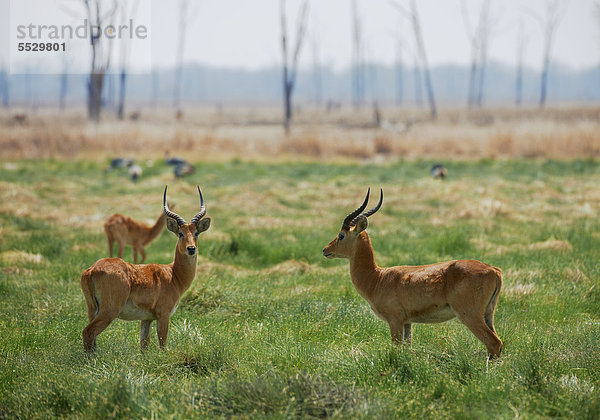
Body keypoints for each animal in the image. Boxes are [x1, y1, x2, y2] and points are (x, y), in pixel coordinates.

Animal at [79, 185, 211, 352]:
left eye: (196, 233)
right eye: (180, 233)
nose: (191, 249)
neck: (173, 275)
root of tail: (92, 270)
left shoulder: (146, 319)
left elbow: (144, 345)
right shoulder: (164, 315)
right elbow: (163, 344)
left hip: (92, 309)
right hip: (109, 310)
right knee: (88, 332)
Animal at [322, 189, 504, 356]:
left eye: (341, 235)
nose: (325, 250)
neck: (377, 278)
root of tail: (494, 270)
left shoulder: (395, 320)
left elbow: (396, 349)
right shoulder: (407, 322)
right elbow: (407, 349)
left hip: (470, 315)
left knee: (494, 343)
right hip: (488, 313)